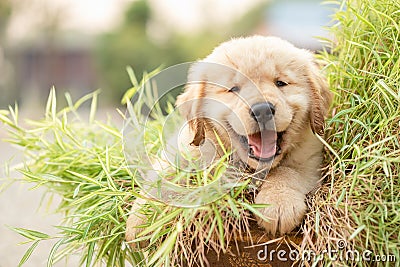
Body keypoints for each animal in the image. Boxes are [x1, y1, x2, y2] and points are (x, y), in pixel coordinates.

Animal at [126, 35, 332, 241]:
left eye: (280, 83)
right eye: (233, 89)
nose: (262, 110)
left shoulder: (310, 160)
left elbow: (287, 172)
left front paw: (278, 203)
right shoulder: (185, 149)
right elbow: (163, 177)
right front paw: (141, 218)